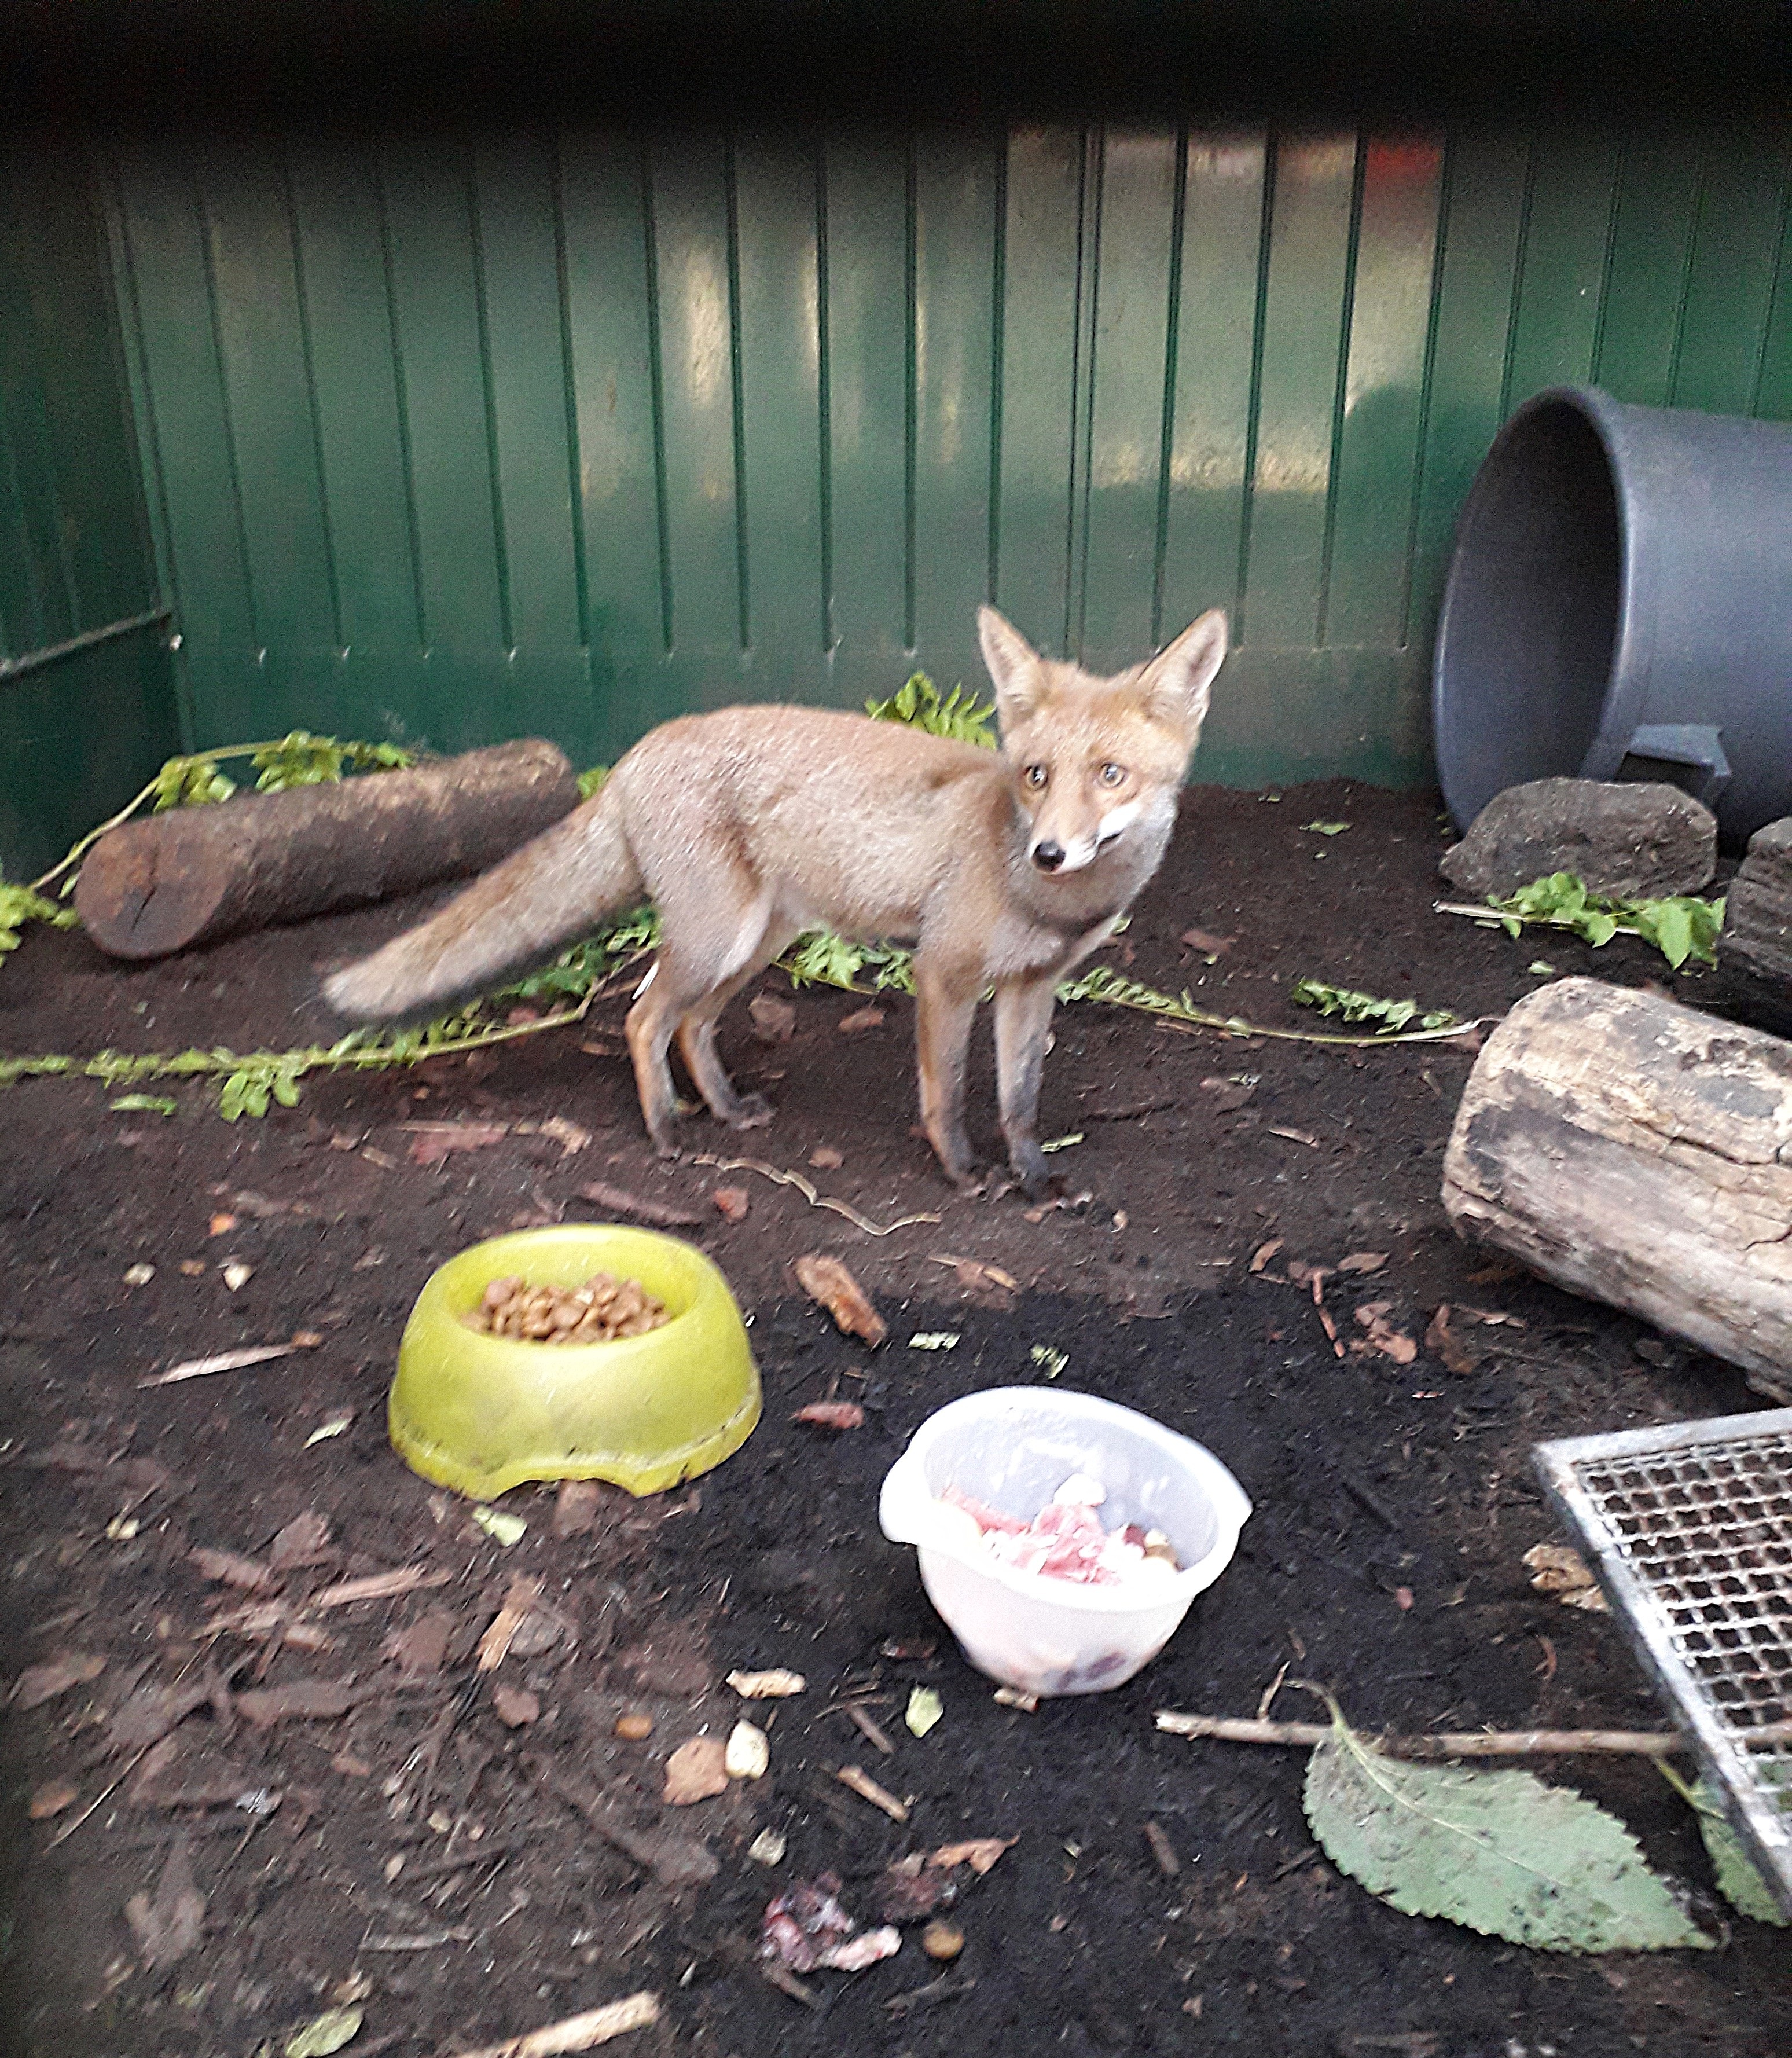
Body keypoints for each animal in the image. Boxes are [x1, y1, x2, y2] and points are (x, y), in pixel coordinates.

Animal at [323, 604, 1227, 1199]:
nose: (1051, 850)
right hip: (715, 939)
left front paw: (1034, 1176)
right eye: (1036, 776)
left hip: (756, 942)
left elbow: (1020, 1100)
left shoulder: (1032, 987)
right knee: (644, 1018)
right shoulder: (944, 973)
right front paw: (961, 1170)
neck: (1037, 892)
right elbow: (946, 1091)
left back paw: (725, 1108)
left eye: (1110, 775)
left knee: (691, 1025)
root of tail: (642, 746)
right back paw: (665, 1129)